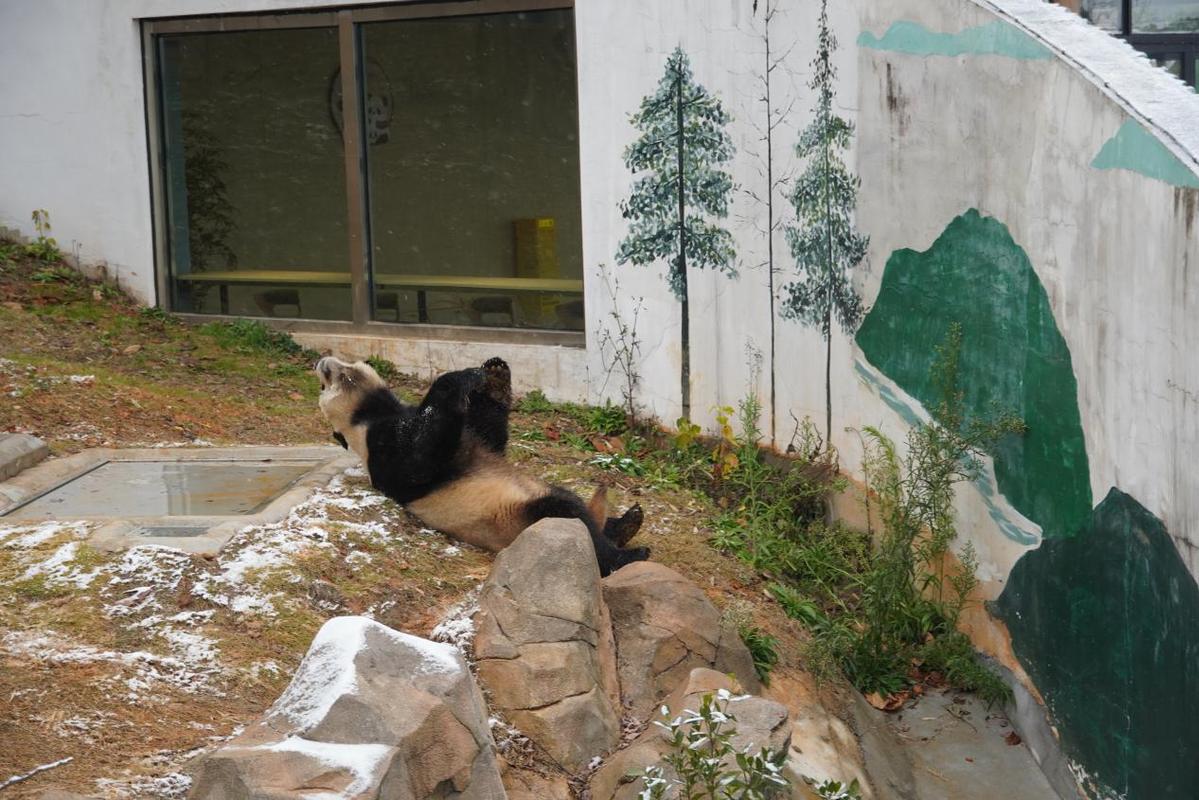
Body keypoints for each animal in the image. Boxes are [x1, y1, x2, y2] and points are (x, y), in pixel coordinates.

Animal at [309, 357, 647, 575]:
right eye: (326, 385)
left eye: (340, 371)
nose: (323, 363)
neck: (369, 414)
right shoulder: (381, 448)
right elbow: (419, 457)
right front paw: (462, 377)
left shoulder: (471, 437)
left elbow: (489, 434)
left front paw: (496, 374)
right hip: (519, 518)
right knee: (569, 515)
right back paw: (626, 555)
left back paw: (626, 522)